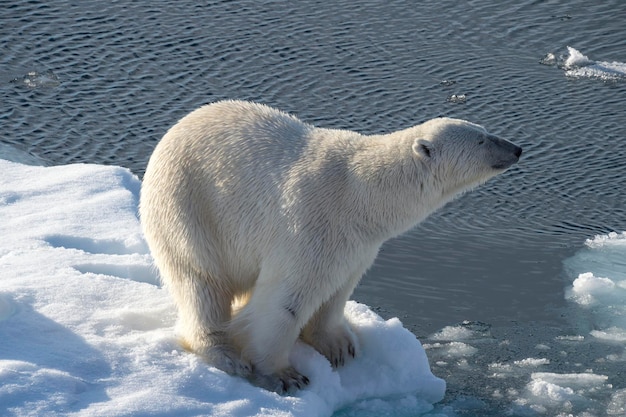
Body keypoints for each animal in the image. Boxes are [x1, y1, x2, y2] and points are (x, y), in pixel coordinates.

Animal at [139, 99, 520, 392]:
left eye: (485, 129)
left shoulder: (355, 245)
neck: (361, 195)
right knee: (200, 284)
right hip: (187, 211)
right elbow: (284, 302)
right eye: (482, 140)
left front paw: (338, 346)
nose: (516, 148)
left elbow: (336, 290)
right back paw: (224, 354)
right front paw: (284, 375)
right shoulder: (311, 225)